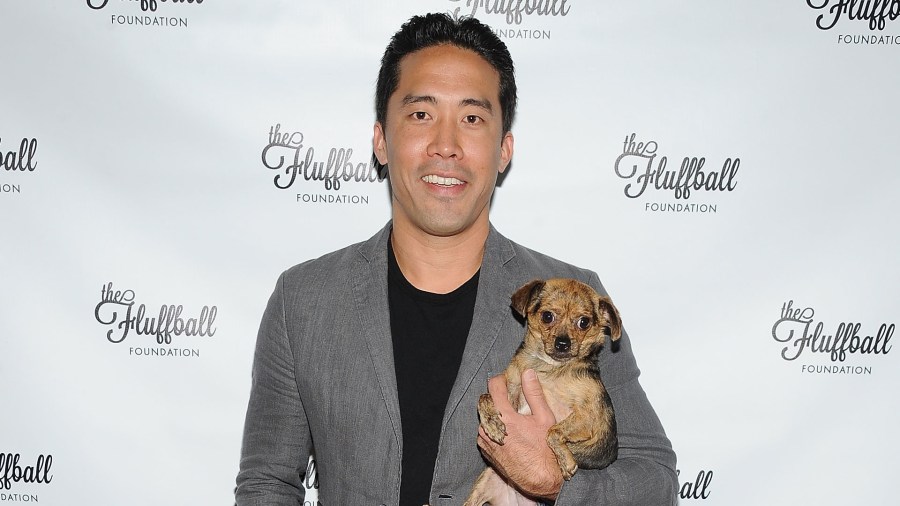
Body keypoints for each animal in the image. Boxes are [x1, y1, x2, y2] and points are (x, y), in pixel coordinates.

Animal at [464, 278, 620, 504]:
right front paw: (492, 424)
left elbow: (553, 431)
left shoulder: (589, 417)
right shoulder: (511, 394)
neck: (548, 368)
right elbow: (484, 397)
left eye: (584, 322)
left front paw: (565, 461)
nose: (563, 343)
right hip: (483, 484)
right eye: (547, 316)